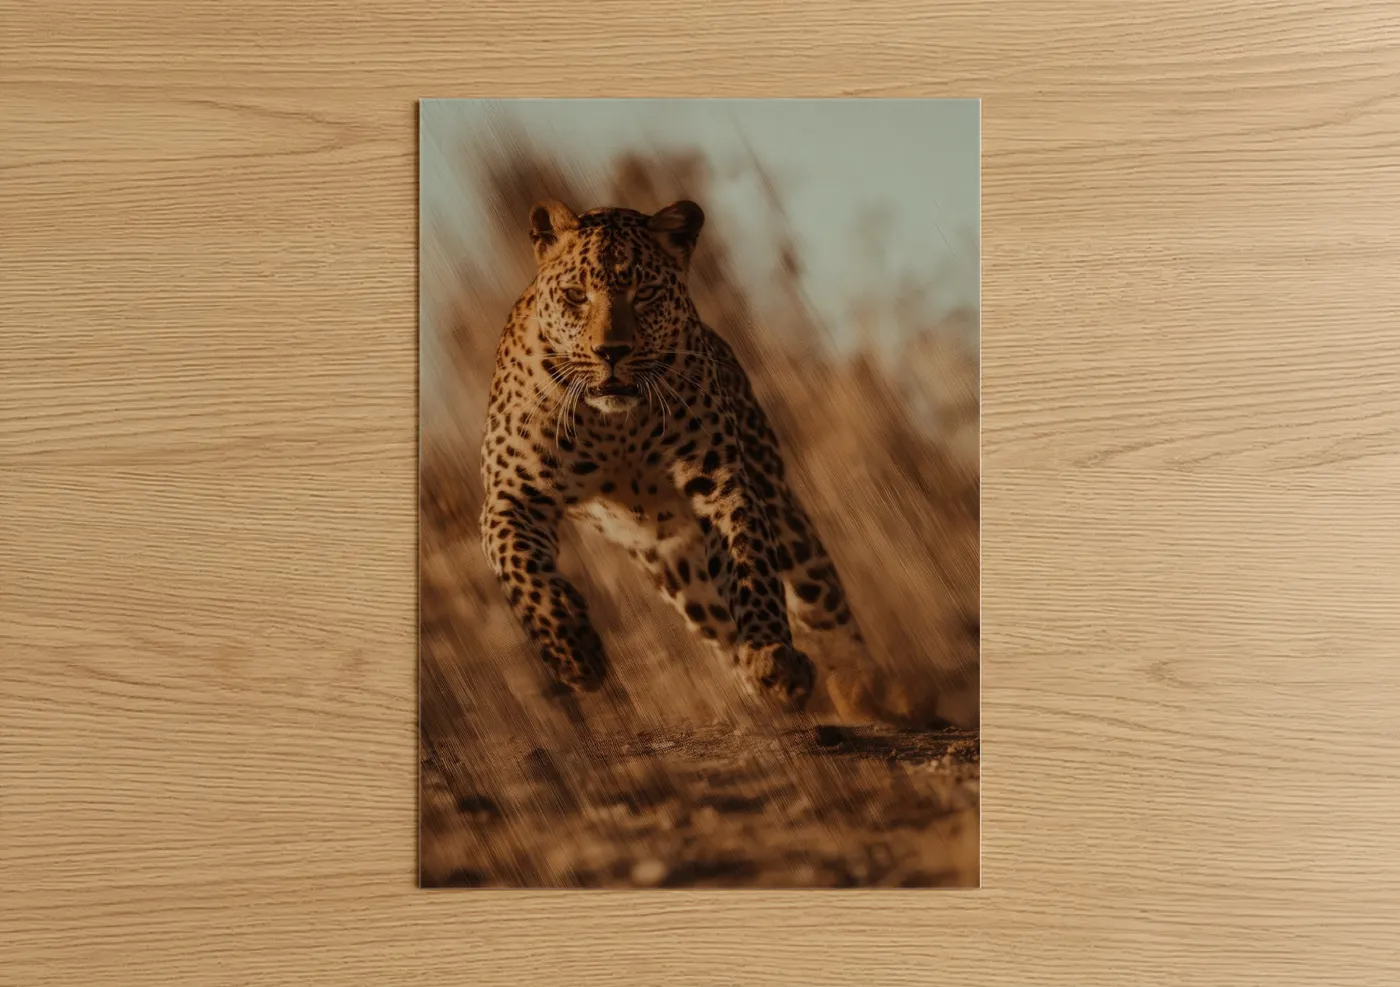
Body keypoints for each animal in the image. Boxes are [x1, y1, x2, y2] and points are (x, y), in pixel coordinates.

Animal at [478, 197, 865, 715]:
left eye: (644, 294)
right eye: (576, 296)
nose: (611, 352)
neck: (615, 426)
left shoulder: (721, 482)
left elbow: (750, 567)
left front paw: (772, 655)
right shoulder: (510, 495)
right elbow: (522, 570)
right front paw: (574, 653)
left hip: (789, 530)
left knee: (831, 618)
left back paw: (862, 693)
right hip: (682, 576)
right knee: (718, 623)